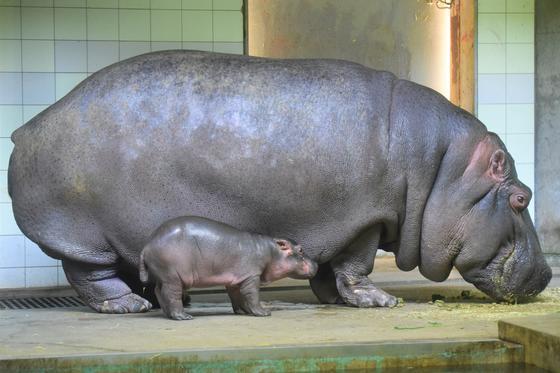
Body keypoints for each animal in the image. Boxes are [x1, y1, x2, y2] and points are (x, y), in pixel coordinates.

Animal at [138, 215, 318, 320]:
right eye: (300, 250)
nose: (316, 264)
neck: (270, 251)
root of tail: (147, 245)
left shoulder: (236, 280)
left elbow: (237, 297)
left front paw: (243, 312)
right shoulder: (251, 276)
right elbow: (252, 295)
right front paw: (263, 313)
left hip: (163, 276)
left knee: (158, 291)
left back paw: (167, 314)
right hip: (173, 276)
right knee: (171, 294)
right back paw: (183, 316)